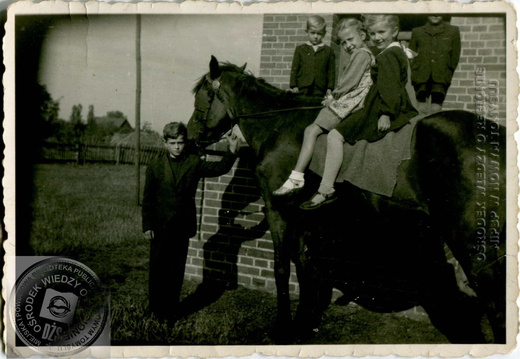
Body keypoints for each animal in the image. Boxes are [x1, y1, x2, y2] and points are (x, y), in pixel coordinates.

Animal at [186, 55, 504, 344]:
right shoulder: (303, 218)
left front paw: (283, 328)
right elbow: (305, 268)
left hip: (471, 243)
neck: (280, 124)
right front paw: (303, 325)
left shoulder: (280, 211)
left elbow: (282, 268)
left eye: (202, 95)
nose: (190, 136)